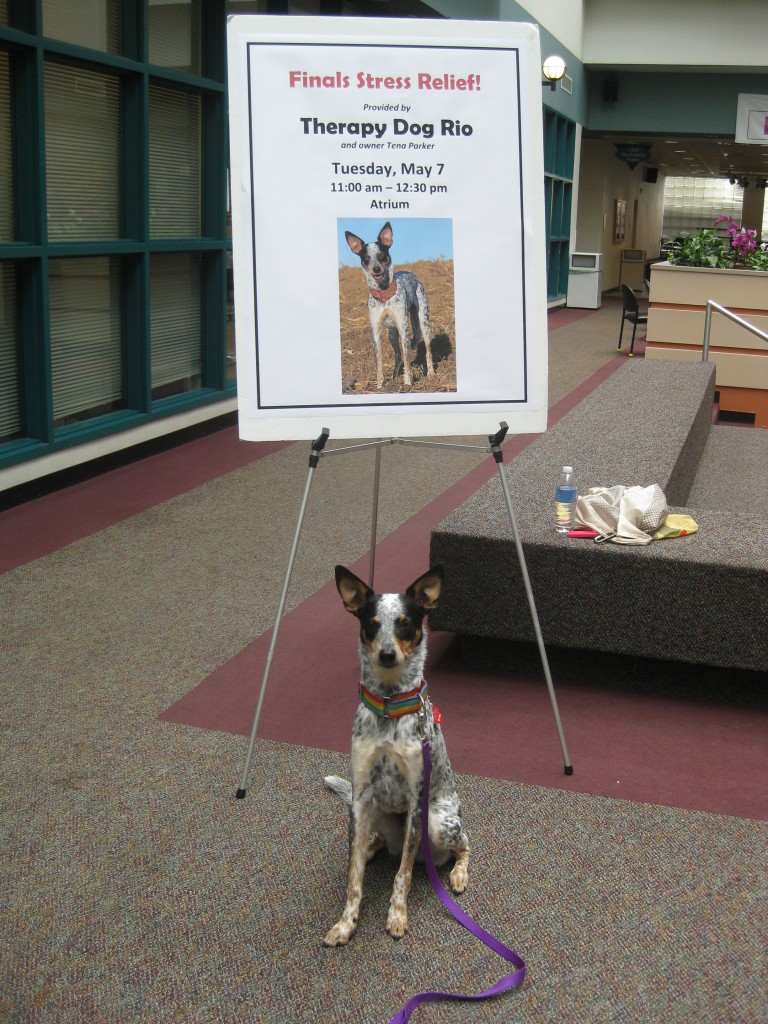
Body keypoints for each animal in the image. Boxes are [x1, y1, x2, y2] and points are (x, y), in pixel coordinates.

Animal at [323, 565, 473, 946]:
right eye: (372, 623)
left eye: (405, 623)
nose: (387, 655)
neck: (389, 705)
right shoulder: (360, 796)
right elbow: (354, 877)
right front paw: (345, 923)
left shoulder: (416, 802)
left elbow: (401, 875)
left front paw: (397, 915)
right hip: (372, 810)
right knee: (372, 844)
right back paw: (371, 848)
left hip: (438, 823)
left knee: (464, 845)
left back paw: (458, 873)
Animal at [346, 221, 436, 387]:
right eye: (366, 258)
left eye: (381, 255)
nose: (376, 269)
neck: (383, 295)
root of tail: (411, 274)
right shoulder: (376, 332)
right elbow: (379, 362)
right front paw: (380, 385)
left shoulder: (403, 329)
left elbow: (407, 359)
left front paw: (407, 383)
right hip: (392, 334)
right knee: (398, 354)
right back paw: (395, 374)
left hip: (424, 323)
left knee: (427, 350)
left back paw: (431, 374)